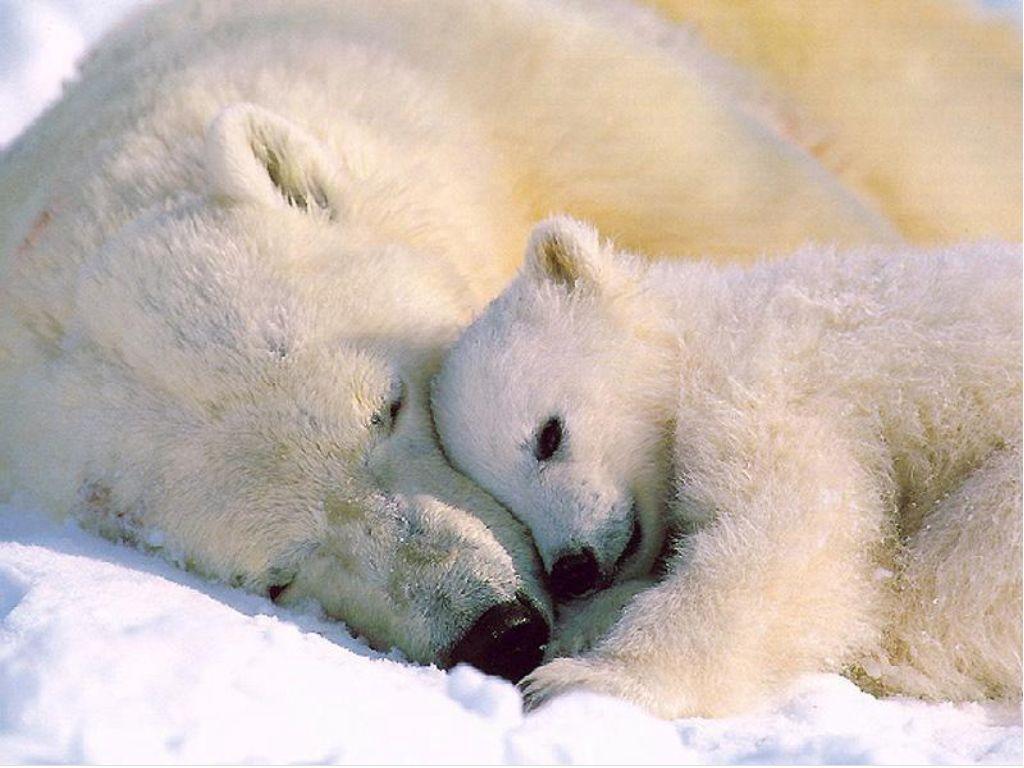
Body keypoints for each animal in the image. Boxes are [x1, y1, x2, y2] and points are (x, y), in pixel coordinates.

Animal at [431, 215, 1022, 716]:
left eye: (548, 436)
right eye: (505, 502)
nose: (573, 568)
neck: (708, 329)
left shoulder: (766, 385)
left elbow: (785, 538)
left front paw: (580, 679)